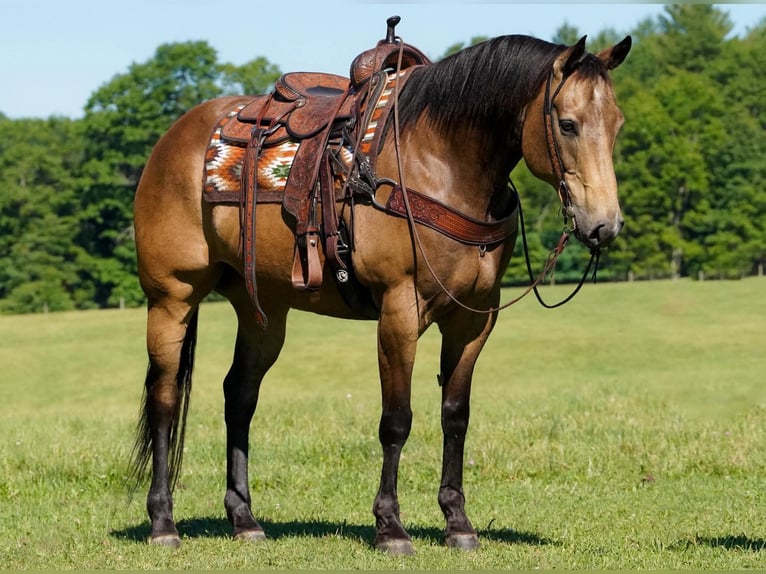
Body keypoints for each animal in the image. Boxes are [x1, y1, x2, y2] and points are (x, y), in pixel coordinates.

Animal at [130, 25, 631, 554]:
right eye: (568, 124)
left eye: (616, 124)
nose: (604, 225)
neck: (441, 163)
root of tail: (172, 139)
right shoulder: (399, 312)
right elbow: (396, 420)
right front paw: (390, 526)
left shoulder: (473, 319)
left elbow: (455, 416)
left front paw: (458, 522)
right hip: (171, 299)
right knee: (164, 399)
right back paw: (162, 522)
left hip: (261, 312)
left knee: (239, 396)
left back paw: (244, 518)